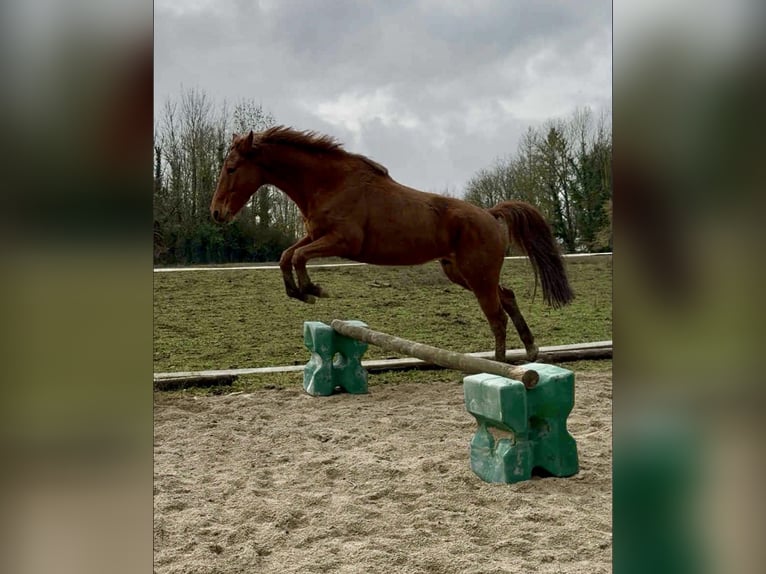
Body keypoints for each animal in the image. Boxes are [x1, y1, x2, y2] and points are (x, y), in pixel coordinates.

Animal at [210, 126, 574, 362]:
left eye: (231, 168)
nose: (216, 213)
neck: (329, 182)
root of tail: (491, 214)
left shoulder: (342, 242)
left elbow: (298, 257)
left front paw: (312, 290)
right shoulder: (316, 236)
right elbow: (287, 255)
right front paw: (298, 291)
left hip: (477, 276)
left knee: (496, 315)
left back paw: (498, 365)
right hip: (463, 274)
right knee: (507, 298)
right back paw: (530, 350)